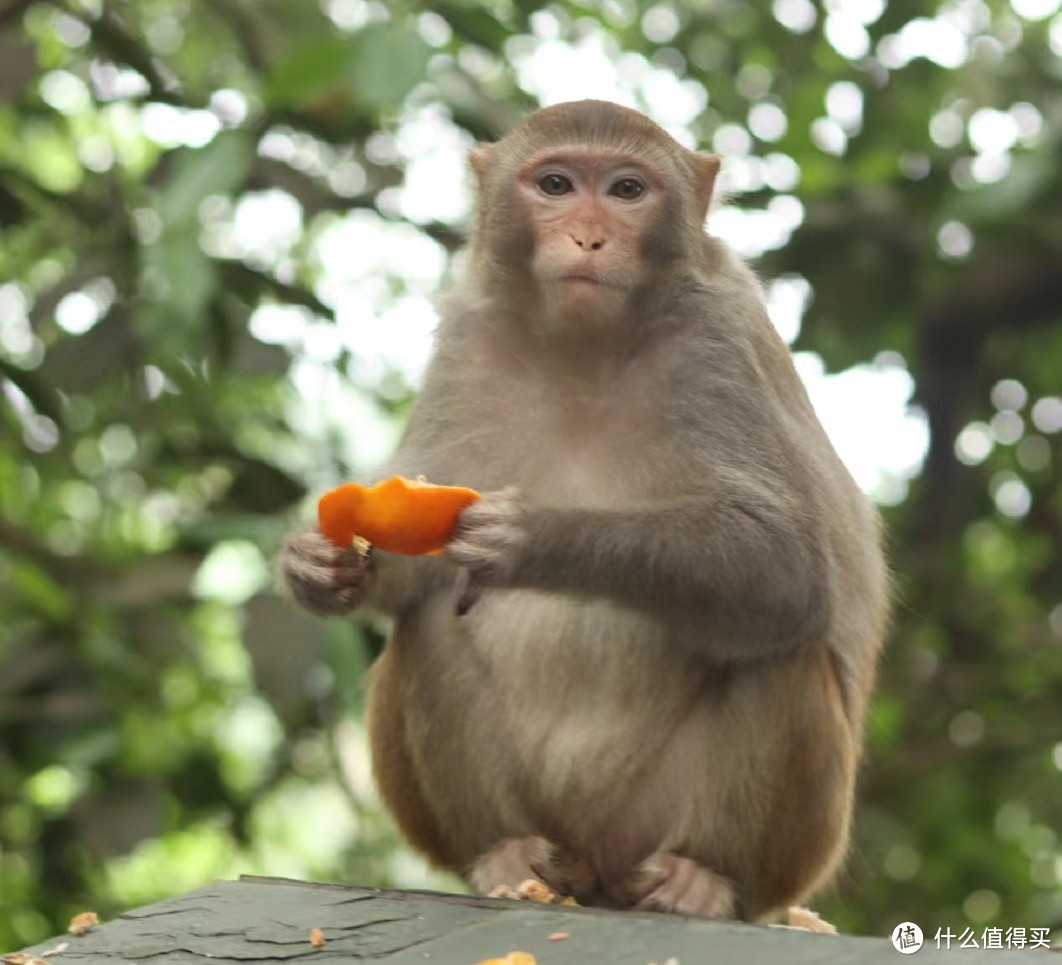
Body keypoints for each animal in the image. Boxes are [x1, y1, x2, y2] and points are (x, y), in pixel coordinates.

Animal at [282, 101, 887, 921]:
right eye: (557, 185)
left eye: (628, 189)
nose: (589, 237)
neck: (584, 350)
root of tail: (599, 871)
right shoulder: (469, 340)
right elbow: (413, 571)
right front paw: (317, 566)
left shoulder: (720, 344)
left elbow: (787, 563)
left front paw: (533, 537)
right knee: (428, 623)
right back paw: (505, 855)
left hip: (754, 840)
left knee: (781, 643)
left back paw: (705, 876)